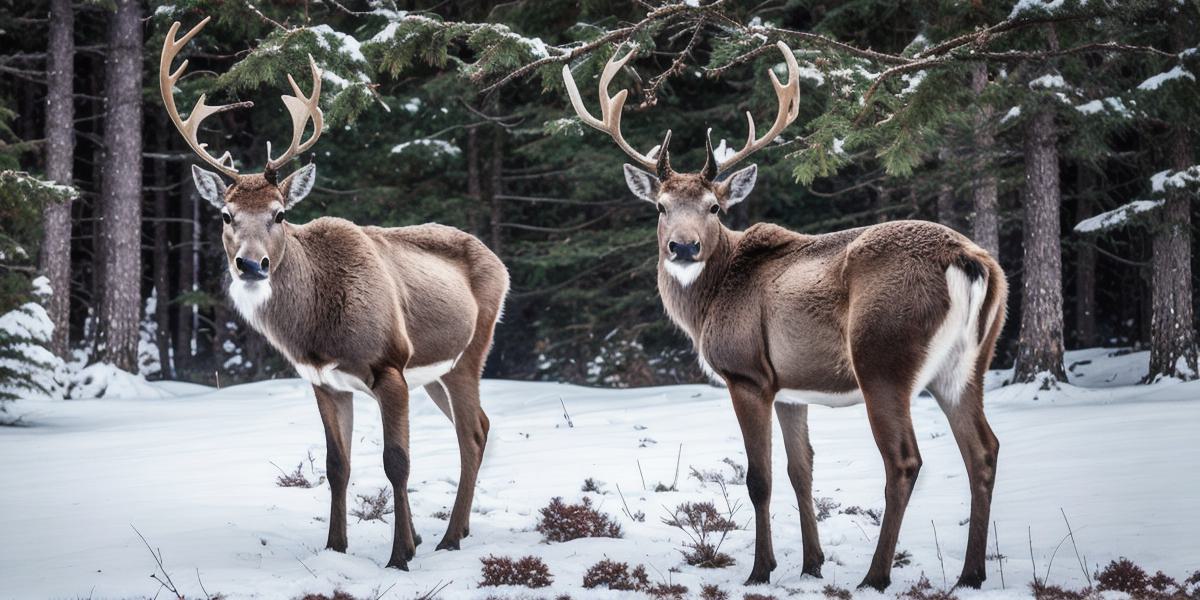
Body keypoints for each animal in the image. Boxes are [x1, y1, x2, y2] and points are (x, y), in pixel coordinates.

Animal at [158, 18, 506, 568]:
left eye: (280, 213)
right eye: (225, 215)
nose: (251, 264)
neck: (318, 329)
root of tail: (500, 262)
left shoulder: (390, 366)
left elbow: (396, 462)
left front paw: (401, 554)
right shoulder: (323, 380)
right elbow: (335, 465)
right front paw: (337, 547)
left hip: (471, 352)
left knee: (470, 435)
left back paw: (449, 537)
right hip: (436, 371)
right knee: (483, 426)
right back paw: (459, 530)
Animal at [561, 42, 1003, 590]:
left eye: (714, 207)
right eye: (660, 206)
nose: (682, 247)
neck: (707, 304)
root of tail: (968, 260)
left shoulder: (748, 374)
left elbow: (760, 478)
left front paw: (761, 570)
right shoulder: (792, 388)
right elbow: (802, 471)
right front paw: (812, 564)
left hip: (884, 357)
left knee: (903, 460)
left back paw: (876, 576)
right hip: (967, 364)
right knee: (983, 450)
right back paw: (971, 574)